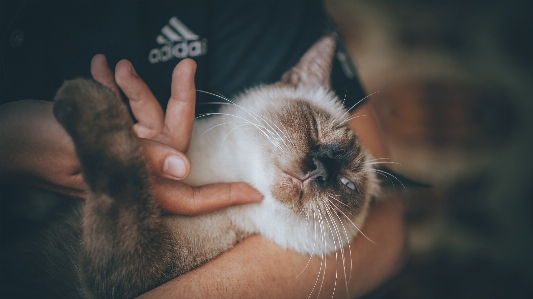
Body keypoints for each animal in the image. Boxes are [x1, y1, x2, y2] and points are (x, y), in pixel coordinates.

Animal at [17, 34, 378, 298]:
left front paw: (85, 95)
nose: (320, 170)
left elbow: (123, 166)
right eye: (315, 128)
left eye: (347, 185)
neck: (218, 169)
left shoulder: (138, 266)